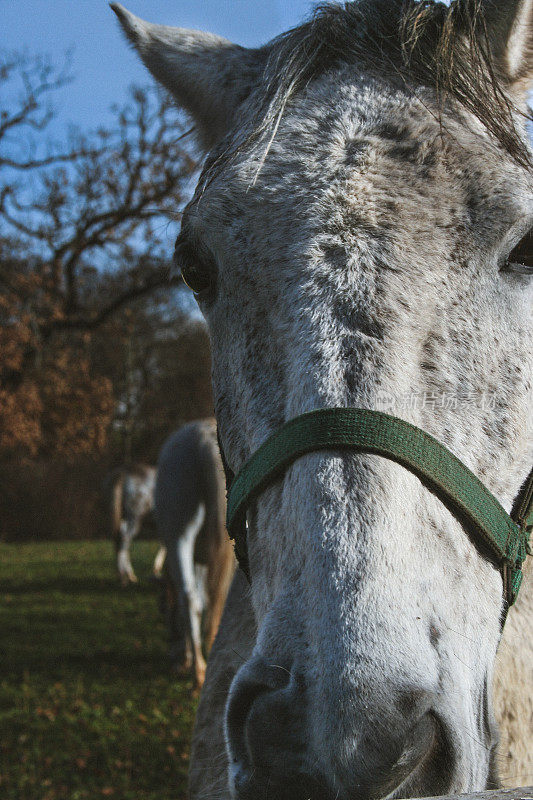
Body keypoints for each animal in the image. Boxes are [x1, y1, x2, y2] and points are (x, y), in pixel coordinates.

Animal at [155, 418, 236, 688]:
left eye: (162, 609)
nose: (171, 652)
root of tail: (203, 438)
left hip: (179, 535)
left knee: (189, 598)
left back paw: (198, 670)